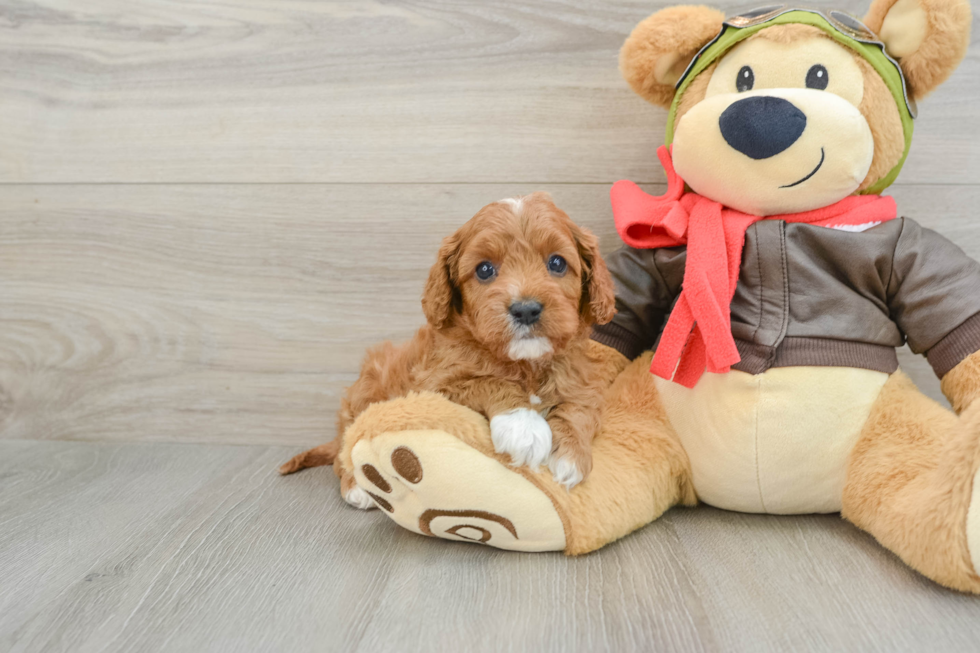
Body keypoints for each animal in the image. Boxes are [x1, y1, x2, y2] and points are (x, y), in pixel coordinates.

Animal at [280, 191, 612, 506]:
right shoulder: (434, 387)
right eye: (484, 269)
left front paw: (571, 456)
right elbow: (489, 381)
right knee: (345, 452)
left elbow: (579, 408)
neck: (525, 362)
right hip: (363, 396)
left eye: (557, 263)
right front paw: (523, 426)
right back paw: (356, 487)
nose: (526, 309)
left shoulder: (581, 379)